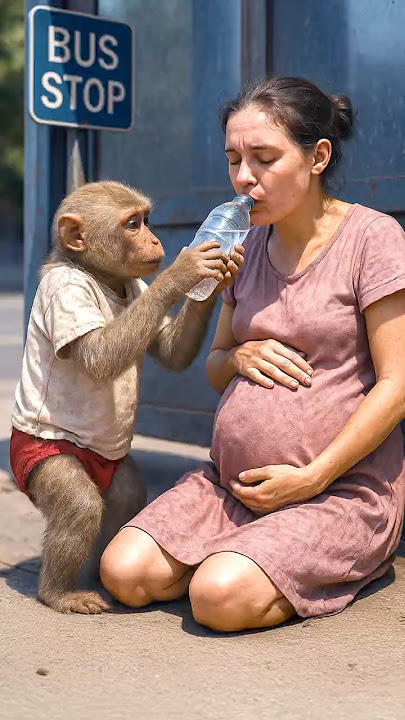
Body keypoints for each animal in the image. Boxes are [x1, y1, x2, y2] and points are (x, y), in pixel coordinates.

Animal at [10, 180, 244, 614]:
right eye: (133, 224)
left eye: (146, 221)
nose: (154, 238)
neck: (99, 275)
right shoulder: (67, 293)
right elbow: (99, 356)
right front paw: (184, 271)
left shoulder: (136, 287)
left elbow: (170, 350)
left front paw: (220, 274)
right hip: (33, 456)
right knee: (79, 505)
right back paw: (59, 592)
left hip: (108, 463)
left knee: (126, 493)